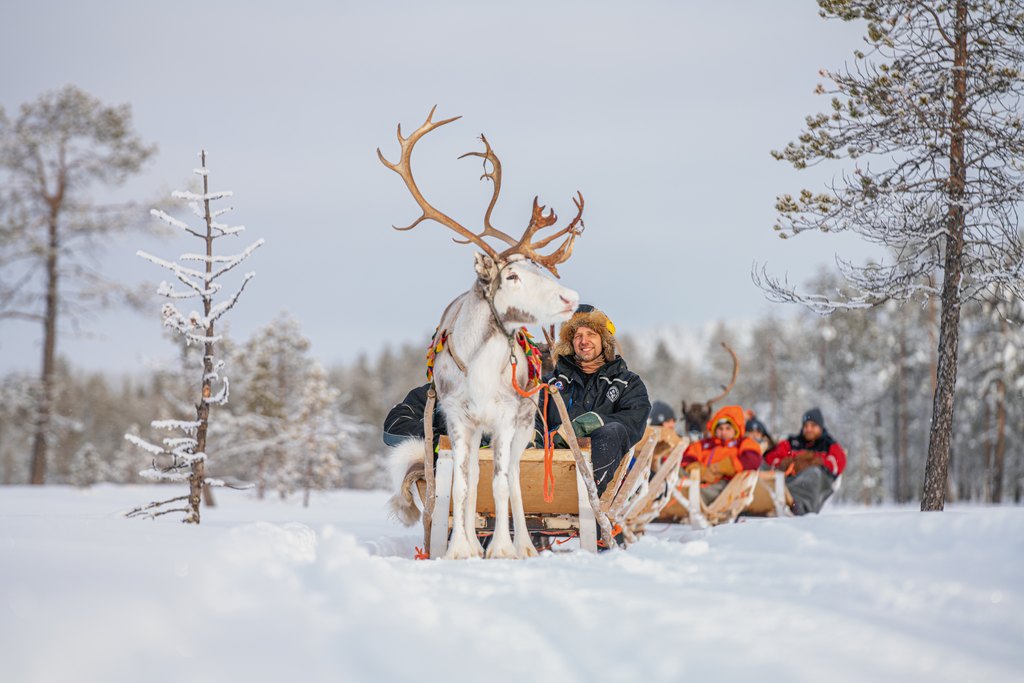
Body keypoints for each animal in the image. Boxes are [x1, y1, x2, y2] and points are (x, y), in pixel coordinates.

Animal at [380, 108, 583, 560]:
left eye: (536, 270)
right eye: (512, 275)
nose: (571, 296)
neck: (479, 367)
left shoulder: (507, 419)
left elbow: (503, 484)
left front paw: (503, 550)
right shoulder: (458, 417)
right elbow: (462, 486)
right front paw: (460, 549)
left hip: (526, 426)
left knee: (516, 482)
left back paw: (523, 544)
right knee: (471, 475)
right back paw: (473, 540)